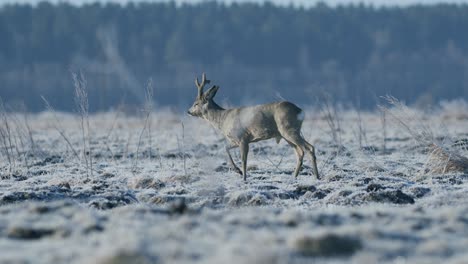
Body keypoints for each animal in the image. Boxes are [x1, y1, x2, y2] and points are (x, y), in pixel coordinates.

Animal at [187, 73, 318, 180]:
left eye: (196, 103)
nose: (188, 111)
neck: (223, 119)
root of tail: (300, 111)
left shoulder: (243, 138)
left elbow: (244, 159)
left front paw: (243, 177)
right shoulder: (235, 140)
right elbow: (226, 148)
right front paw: (238, 171)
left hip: (288, 129)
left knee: (309, 148)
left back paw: (316, 176)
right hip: (287, 134)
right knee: (300, 152)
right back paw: (294, 176)